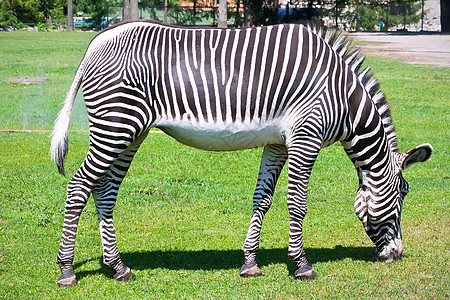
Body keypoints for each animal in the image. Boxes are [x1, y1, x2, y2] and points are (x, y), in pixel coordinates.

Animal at [51, 19, 434, 288]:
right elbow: (297, 202)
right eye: (404, 193)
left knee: (104, 191)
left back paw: (118, 267)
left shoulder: (278, 141)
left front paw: (250, 262)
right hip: (116, 124)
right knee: (79, 186)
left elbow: (262, 199)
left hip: (132, 131)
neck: (343, 99)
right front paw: (302, 265)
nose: (397, 255)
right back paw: (67, 270)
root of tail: (97, 40)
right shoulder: (305, 135)